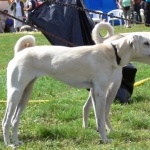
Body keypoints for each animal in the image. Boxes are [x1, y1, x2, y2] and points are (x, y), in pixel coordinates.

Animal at [1, 28, 150, 148]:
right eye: (146, 43)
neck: (112, 52)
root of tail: (20, 52)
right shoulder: (101, 92)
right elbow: (101, 119)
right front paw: (105, 140)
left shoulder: (95, 92)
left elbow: (98, 118)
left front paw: (101, 136)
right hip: (15, 94)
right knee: (6, 121)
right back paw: (9, 144)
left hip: (26, 93)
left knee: (15, 120)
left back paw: (16, 142)